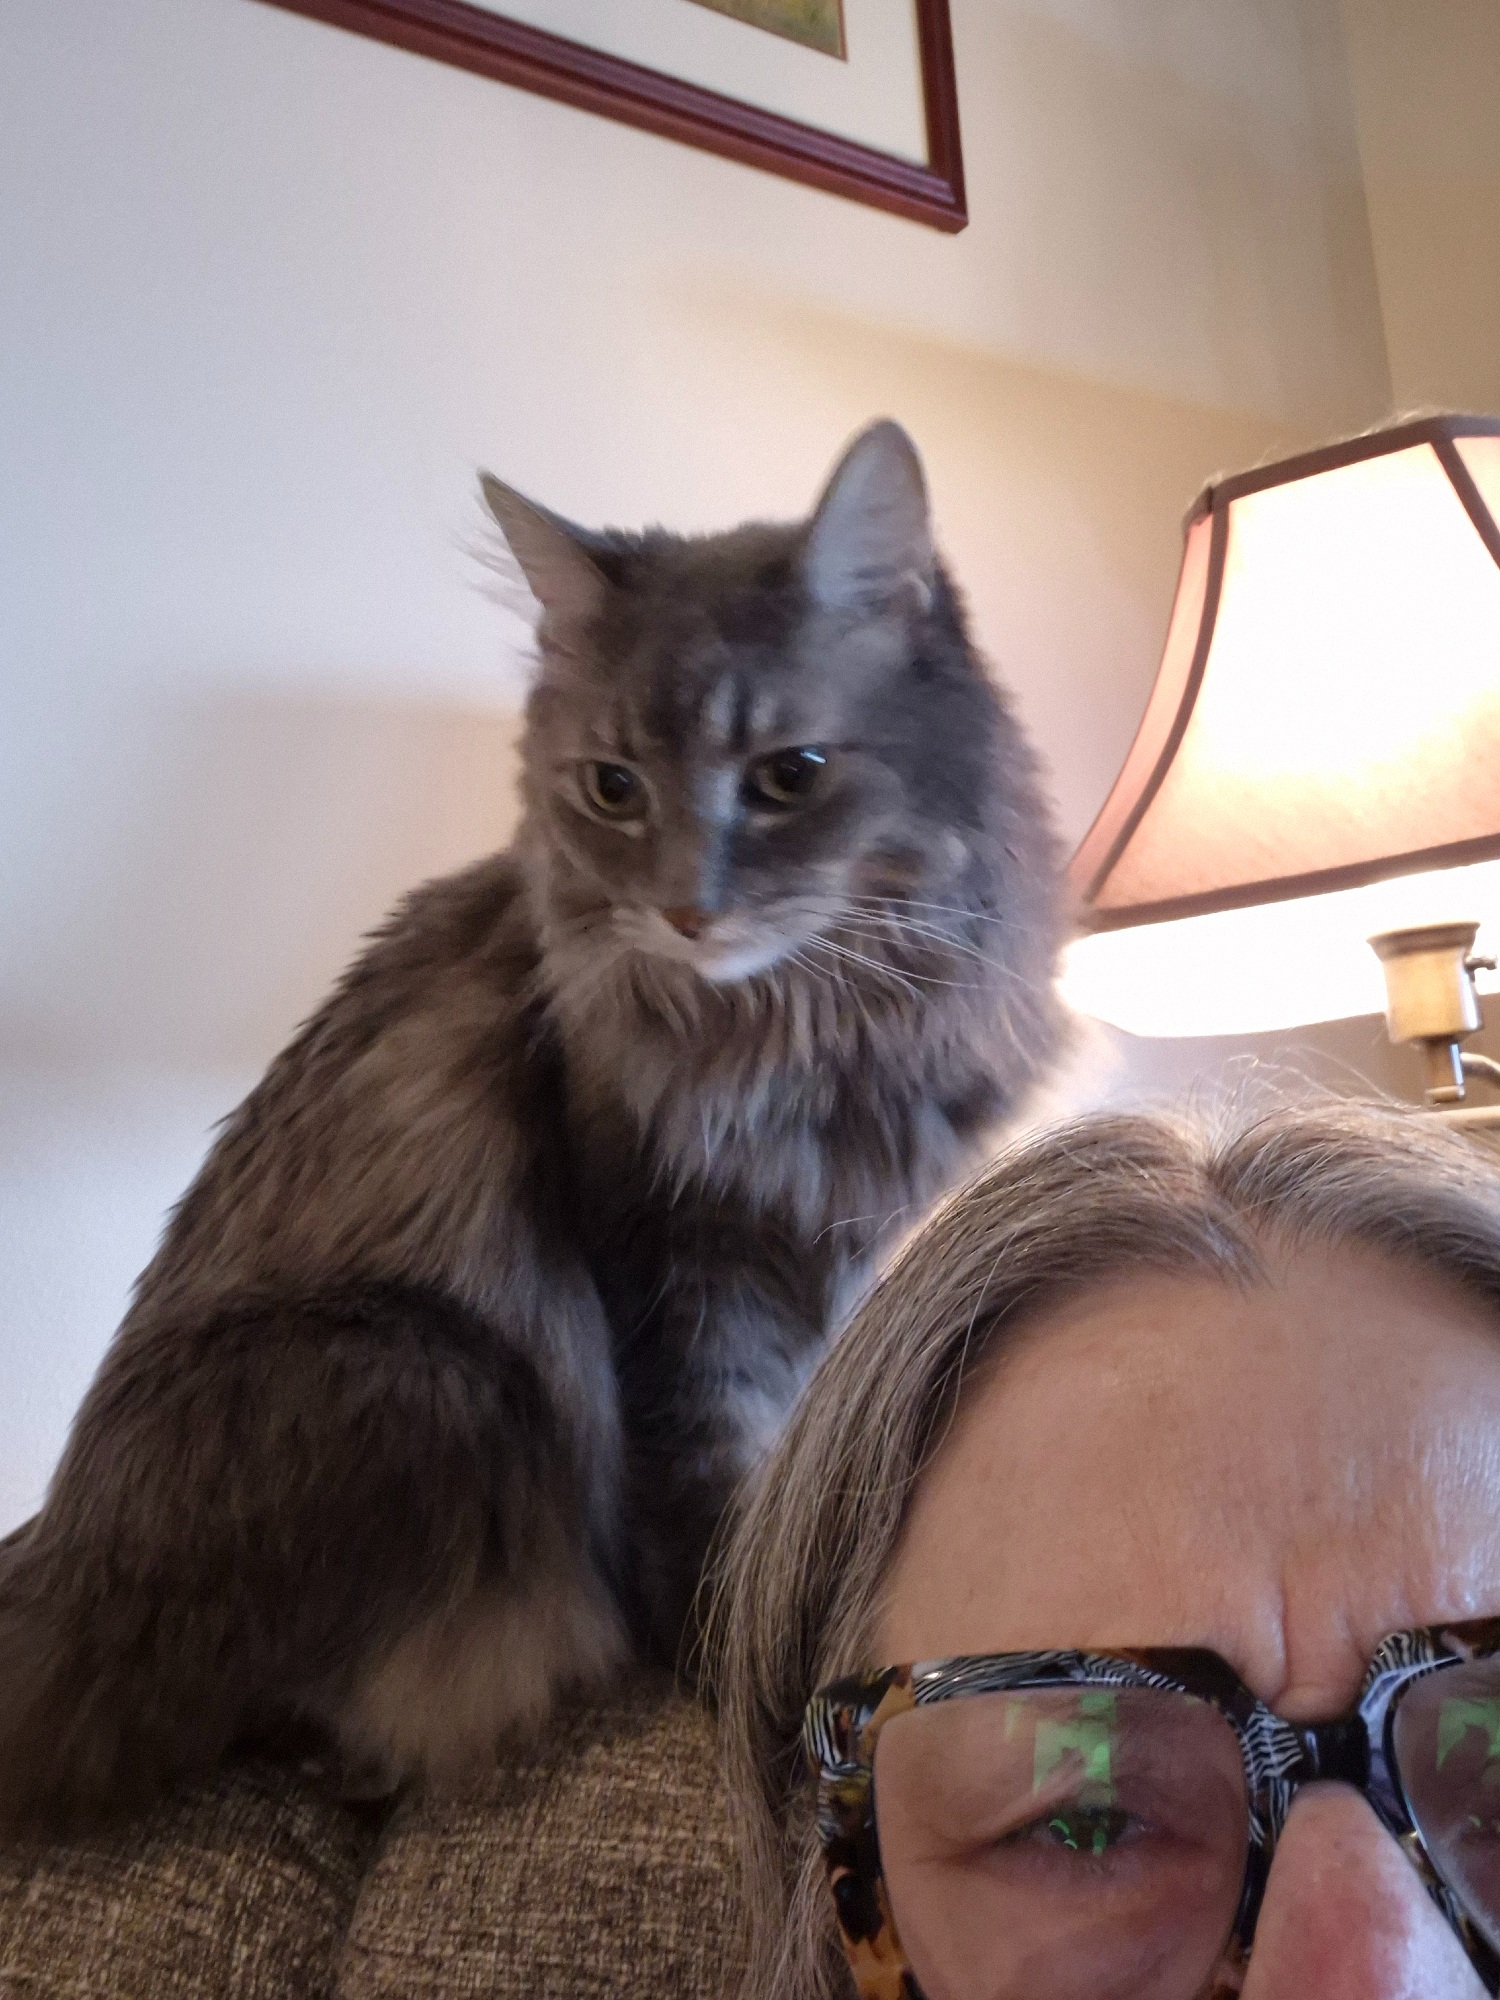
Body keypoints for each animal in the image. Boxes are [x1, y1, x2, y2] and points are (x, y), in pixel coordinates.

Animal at [0, 420, 1063, 1835]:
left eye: (789, 776)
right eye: (612, 788)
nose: (684, 911)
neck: (805, 1027)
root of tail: (43, 1585)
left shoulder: (828, 1261)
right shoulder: (670, 1264)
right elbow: (710, 1499)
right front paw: (740, 1688)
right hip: (429, 1372)